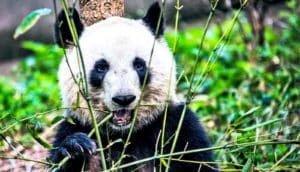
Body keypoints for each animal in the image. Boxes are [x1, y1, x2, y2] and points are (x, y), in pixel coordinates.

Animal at [48, 1, 218, 172]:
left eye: (139, 65)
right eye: (101, 67)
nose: (124, 98)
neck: (123, 133)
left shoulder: (175, 125)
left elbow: (196, 161)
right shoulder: (77, 124)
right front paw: (76, 148)